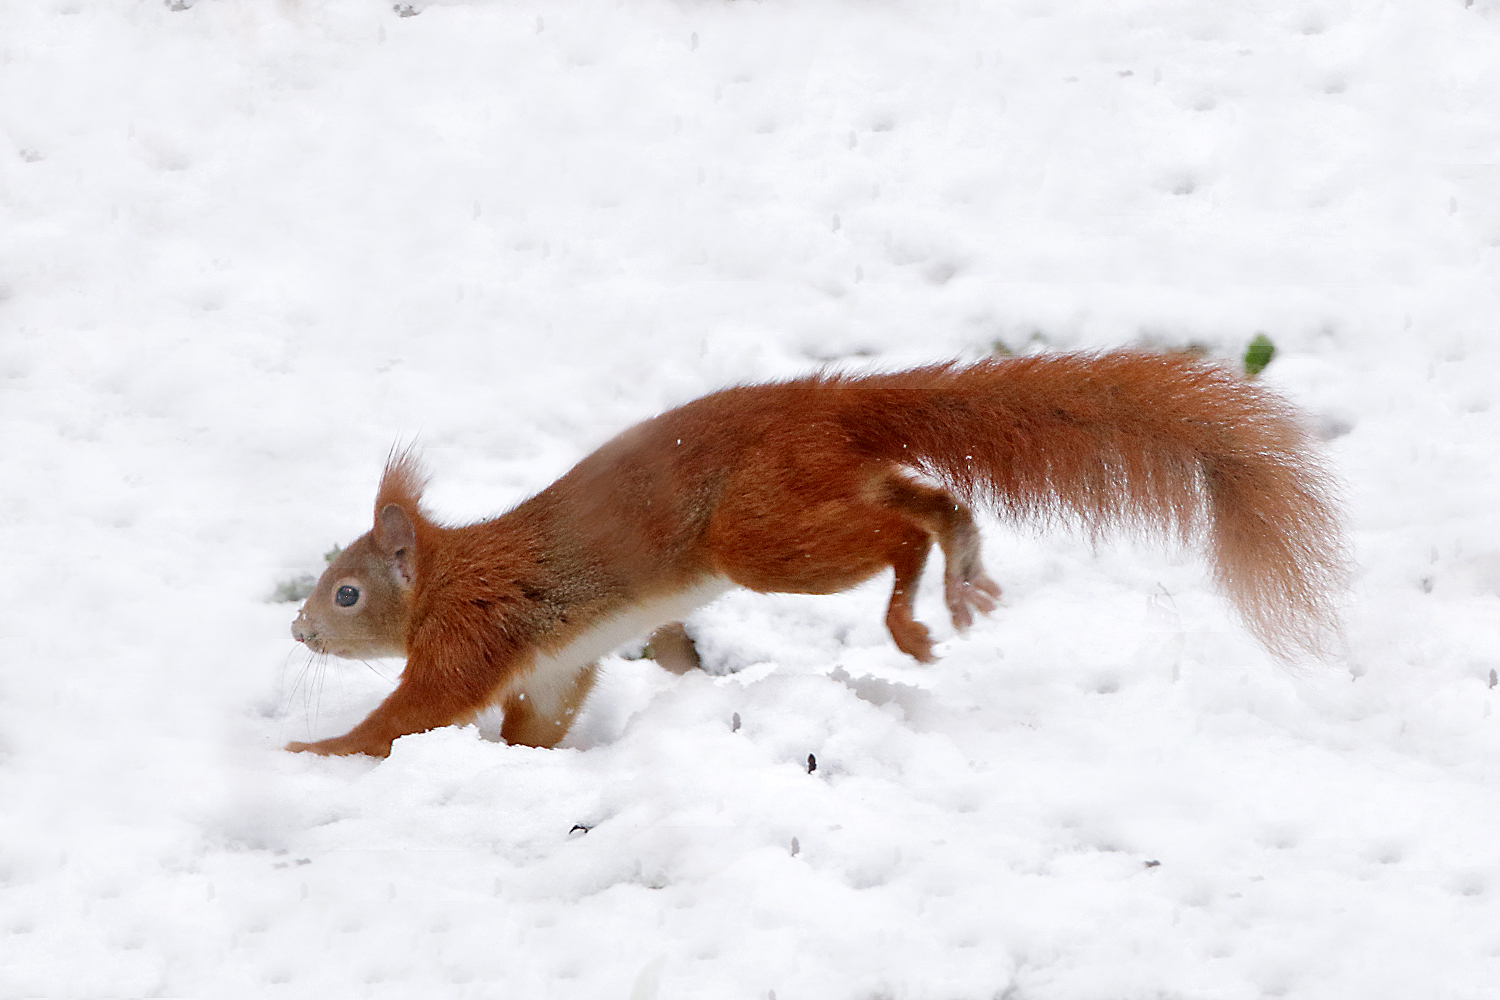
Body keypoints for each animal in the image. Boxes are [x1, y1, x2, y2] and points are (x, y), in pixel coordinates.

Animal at [286, 352, 1344, 758]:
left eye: (346, 593)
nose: (297, 631)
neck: (445, 575)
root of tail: (823, 404)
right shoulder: (552, 665)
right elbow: (533, 726)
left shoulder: (471, 632)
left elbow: (411, 713)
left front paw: (315, 750)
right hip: (810, 498)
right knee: (928, 500)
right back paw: (961, 565)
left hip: (762, 535)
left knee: (897, 533)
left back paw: (911, 612)